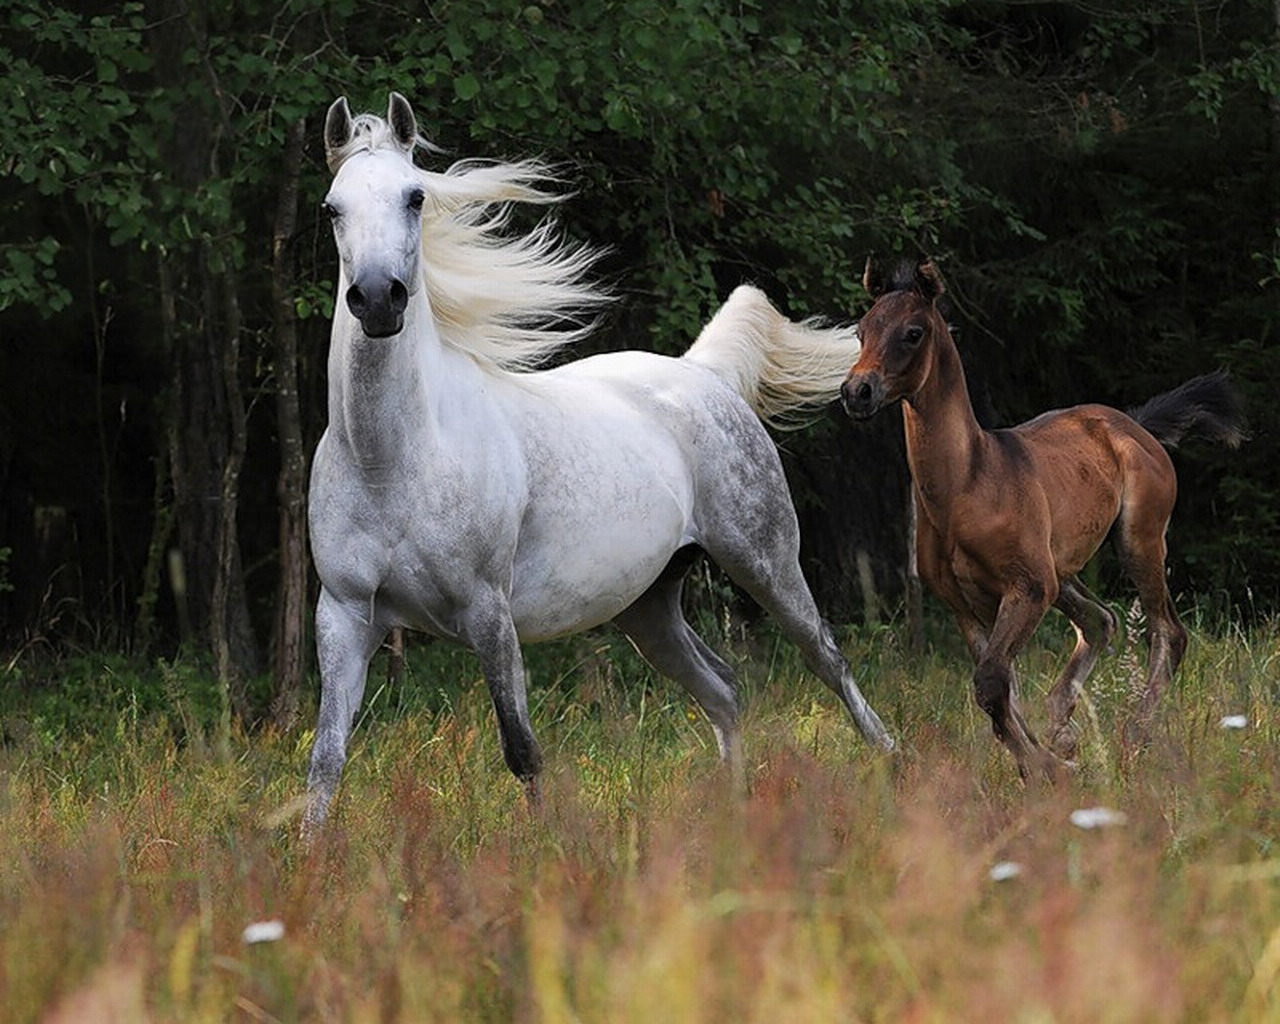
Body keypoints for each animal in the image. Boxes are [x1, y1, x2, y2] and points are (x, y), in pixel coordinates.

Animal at [302, 92, 894, 837]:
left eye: (415, 197)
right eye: (332, 207)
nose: (379, 299)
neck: (393, 460)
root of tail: (703, 375)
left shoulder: (488, 612)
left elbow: (521, 749)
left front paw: (544, 849)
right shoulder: (346, 616)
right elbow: (325, 763)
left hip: (766, 562)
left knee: (829, 661)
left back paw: (895, 770)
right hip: (650, 606)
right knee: (724, 690)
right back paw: (735, 821)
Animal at [841, 256, 1243, 780]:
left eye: (913, 332)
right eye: (861, 330)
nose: (857, 391)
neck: (966, 485)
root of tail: (1135, 425)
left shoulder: (1028, 586)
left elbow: (991, 682)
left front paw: (1046, 768)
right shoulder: (964, 603)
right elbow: (1001, 687)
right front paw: (1051, 758)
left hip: (1138, 541)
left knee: (1168, 631)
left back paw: (1132, 737)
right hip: (1063, 570)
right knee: (1100, 620)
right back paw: (1064, 726)